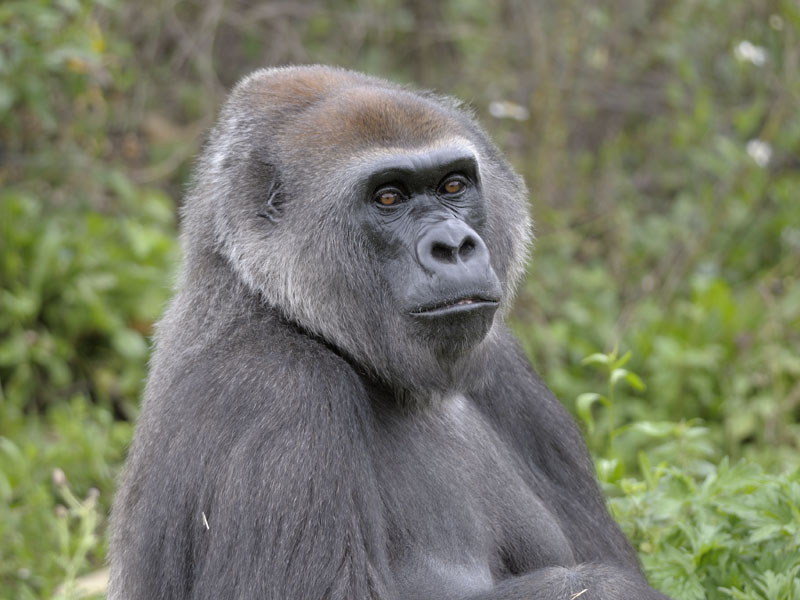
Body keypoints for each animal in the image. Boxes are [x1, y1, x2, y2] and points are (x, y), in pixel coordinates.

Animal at [109, 65, 670, 600]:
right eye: (388, 197)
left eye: (453, 186)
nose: (454, 246)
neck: (262, 300)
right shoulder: (277, 388)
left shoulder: (508, 369)